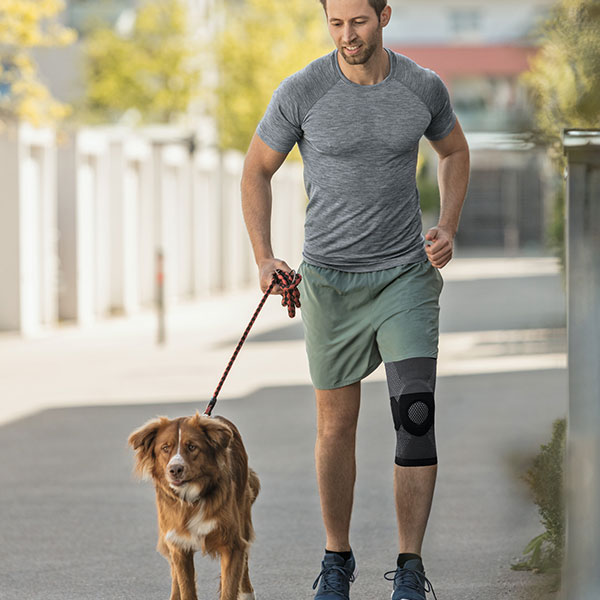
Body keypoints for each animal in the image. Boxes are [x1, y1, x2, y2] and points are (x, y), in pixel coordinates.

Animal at [129, 412, 260, 600]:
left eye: (192, 447)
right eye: (165, 448)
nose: (175, 470)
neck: (190, 499)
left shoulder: (232, 544)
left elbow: (229, 587)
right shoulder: (178, 544)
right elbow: (185, 586)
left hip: (243, 513)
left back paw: (247, 592)